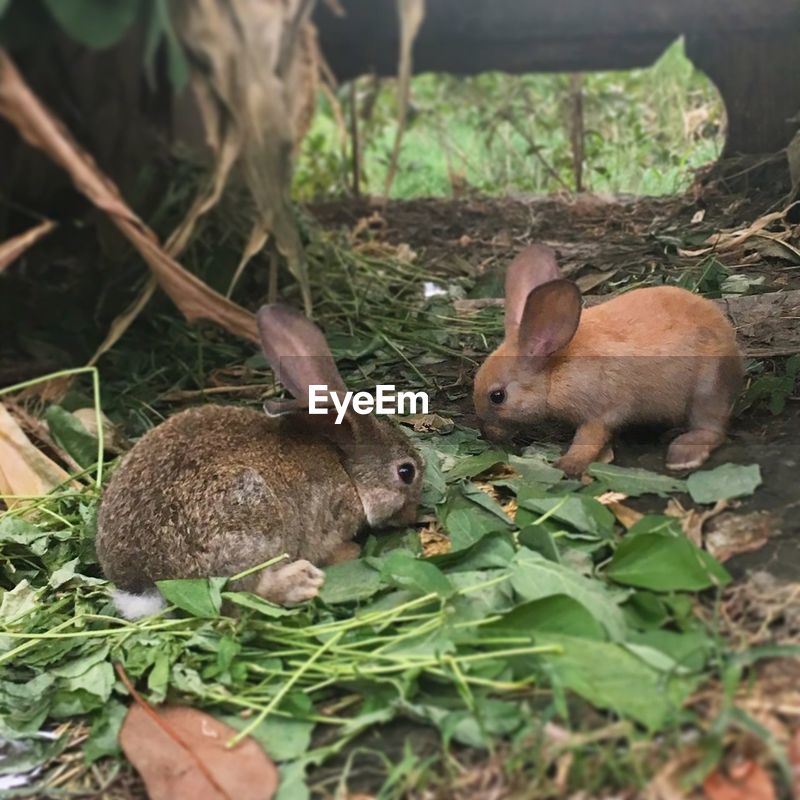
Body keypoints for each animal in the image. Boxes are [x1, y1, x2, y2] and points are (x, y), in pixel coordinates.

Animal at [96, 304, 423, 618]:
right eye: (406, 472)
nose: (413, 515)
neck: (346, 469)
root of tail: (145, 586)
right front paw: (350, 552)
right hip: (249, 521)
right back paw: (302, 581)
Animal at [473, 244, 743, 477]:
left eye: (497, 396)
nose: (487, 434)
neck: (554, 371)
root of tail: (729, 337)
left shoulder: (600, 413)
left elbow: (588, 439)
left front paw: (568, 464)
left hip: (708, 388)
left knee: (711, 427)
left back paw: (683, 455)